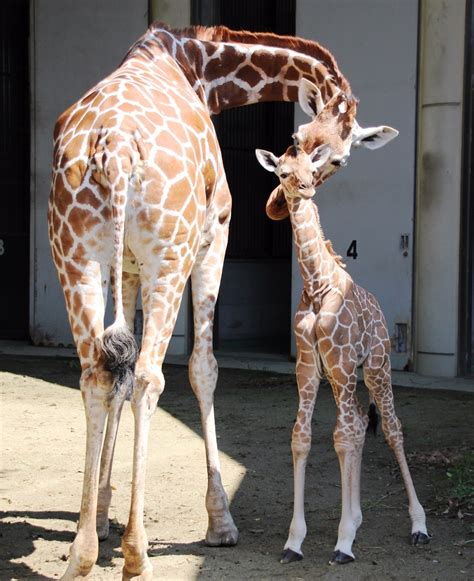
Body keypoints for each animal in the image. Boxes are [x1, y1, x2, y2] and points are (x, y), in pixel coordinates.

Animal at [49, 20, 396, 576]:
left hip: (75, 257)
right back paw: (137, 554)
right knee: (149, 377)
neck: (197, 67)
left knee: (97, 376)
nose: (277, 204)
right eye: (297, 140)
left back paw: (83, 553)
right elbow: (203, 369)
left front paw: (100, 517)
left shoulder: (127, 267)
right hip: (170, 255)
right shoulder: (215, 236)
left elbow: (118, 377)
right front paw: (220, 523)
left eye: (331, 154)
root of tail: (116, 149)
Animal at [256, 143, 430, 564]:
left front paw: (344, 540)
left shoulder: (344, 365)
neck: (317, 286)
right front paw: (295, 541)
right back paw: (358, 517)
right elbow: (303, 437)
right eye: (282, 172)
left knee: (389, 429)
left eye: (311, 168)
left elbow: (343, 436)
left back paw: (418, 526)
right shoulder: (308, 369)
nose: (304, 188)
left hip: (376, 367)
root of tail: (382, 312)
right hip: (341, 378)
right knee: (358, 426)